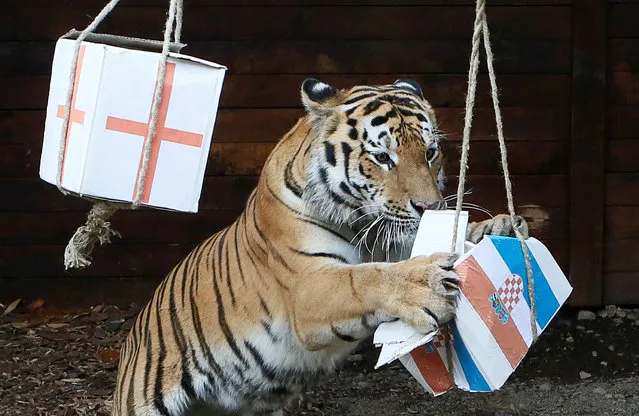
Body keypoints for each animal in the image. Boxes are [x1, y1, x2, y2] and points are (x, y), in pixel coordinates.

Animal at [111, 78, 528, 416]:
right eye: (382, 157)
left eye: (429, 152)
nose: (430, 207)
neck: (364, 224)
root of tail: (133, 336)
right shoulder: (307, 285)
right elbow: (364, 279)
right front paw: (424, 284)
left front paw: (500, 227)